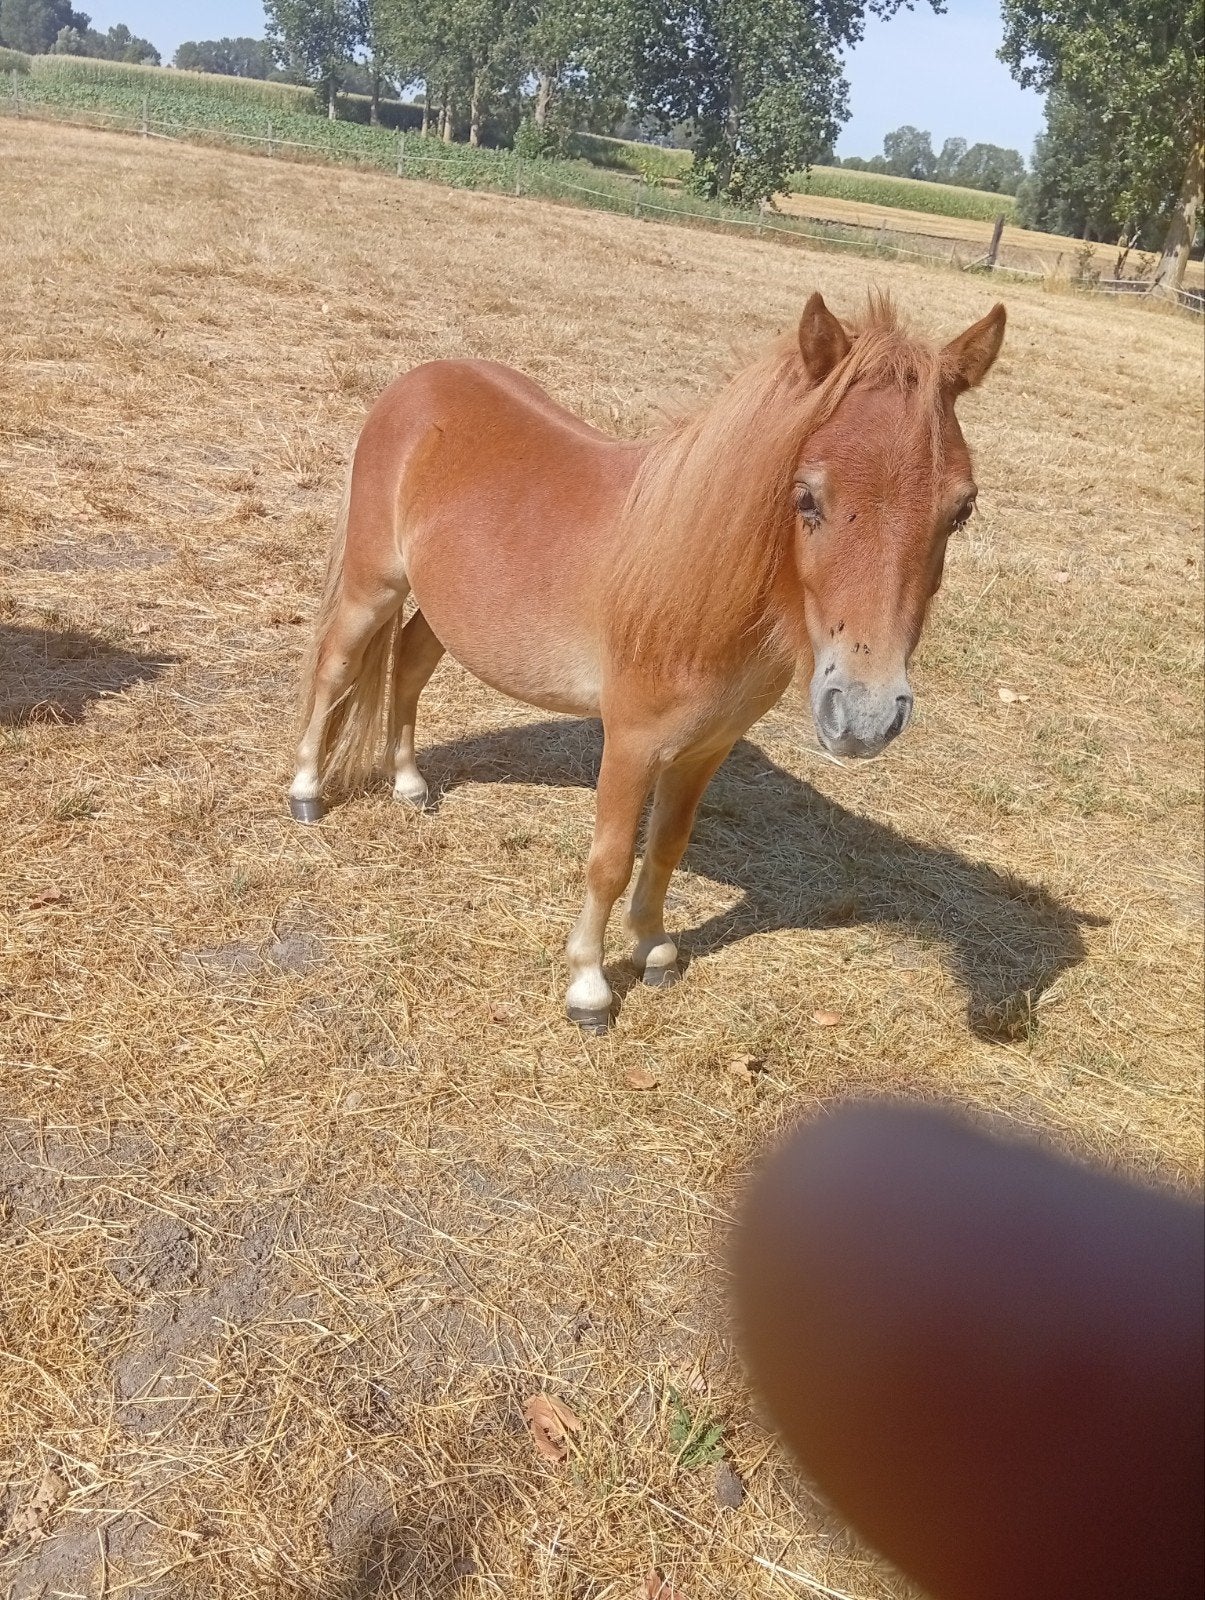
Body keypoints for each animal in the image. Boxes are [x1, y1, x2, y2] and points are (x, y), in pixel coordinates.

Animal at [289, 292, 1007, 1033]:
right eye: (807, 496)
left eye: (960, 511)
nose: (864, 716)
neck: (699, 591)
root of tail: (417, 382)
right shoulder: (631, 744)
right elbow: (608, 860)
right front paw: (589, 988)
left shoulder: (706, 749)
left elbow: (666, 845)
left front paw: (655, 950)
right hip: (373, 585)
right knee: (335, 669)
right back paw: (307, 792)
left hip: (446, 607)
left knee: (407, 668)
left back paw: (409, 784)